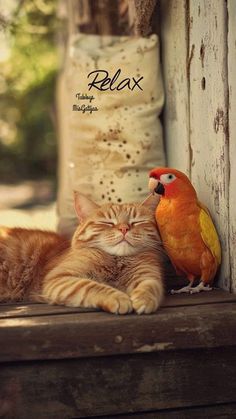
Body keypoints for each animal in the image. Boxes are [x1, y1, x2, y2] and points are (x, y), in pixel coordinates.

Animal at [0, 192, 166, 314]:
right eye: (107, 223)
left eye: (137, 222)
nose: (124, 228)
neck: (117, 260)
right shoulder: (59, 278)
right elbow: (91, 286)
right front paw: (120, 298)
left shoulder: (148, 275)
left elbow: (150, 286)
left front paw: (144, 299)